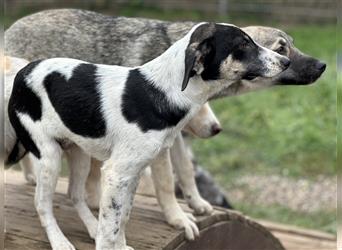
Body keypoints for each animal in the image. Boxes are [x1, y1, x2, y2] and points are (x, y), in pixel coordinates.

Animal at [6, 22, 288, 250]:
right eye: (243, 44)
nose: (286, 62)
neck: (162, 90)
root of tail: (23, 71)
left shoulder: (133, 173)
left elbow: (122, 219)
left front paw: (119, 244)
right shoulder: (116, 173)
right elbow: (111, 229)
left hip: (78, 153)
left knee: (74, 195)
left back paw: (90, 227)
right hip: (49, 157)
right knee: (42, 204)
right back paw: (60, 241)